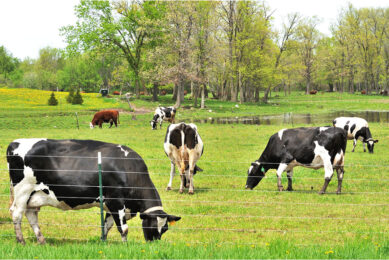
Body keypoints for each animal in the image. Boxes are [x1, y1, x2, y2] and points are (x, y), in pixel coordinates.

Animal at [7, 138, 180, 244]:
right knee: (17, 214)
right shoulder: (116, 200)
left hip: (34, 195)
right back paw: (21, 241)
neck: (129, 168)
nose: (154, 243)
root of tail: (15, 143)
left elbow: (107, 225)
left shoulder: (111, 205)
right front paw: (125, 246)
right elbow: (123, 228)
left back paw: (42, 241)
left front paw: (103, 242)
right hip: (22, 190)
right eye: (152, 225)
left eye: (165, 229)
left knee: (31, 215)